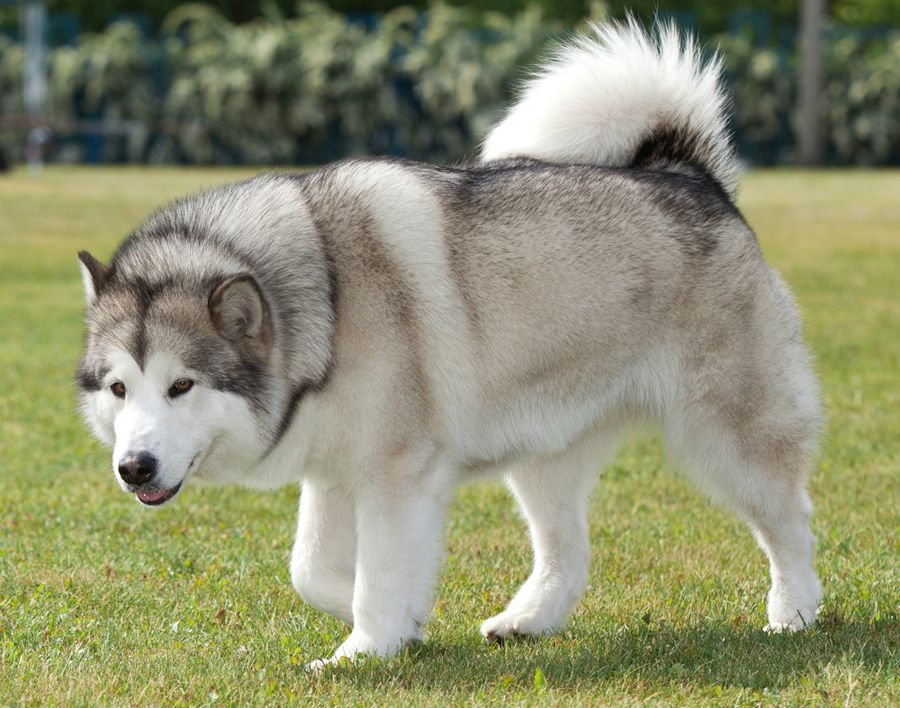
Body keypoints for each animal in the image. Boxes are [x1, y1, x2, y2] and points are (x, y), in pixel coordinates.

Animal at [77, 19, 824, 668]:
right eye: (119, 388)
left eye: (181, 385)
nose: (134, 467)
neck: (325, 301)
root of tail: (690, 175)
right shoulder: (334, 467)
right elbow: (312, 569)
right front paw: (402, 621)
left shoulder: (393, 471)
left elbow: (377, 571)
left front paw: (363, 650)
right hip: (543, 448)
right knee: (568, 551)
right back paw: (528, 620)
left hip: (730, 435)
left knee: (789, 520)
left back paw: (794, 612)